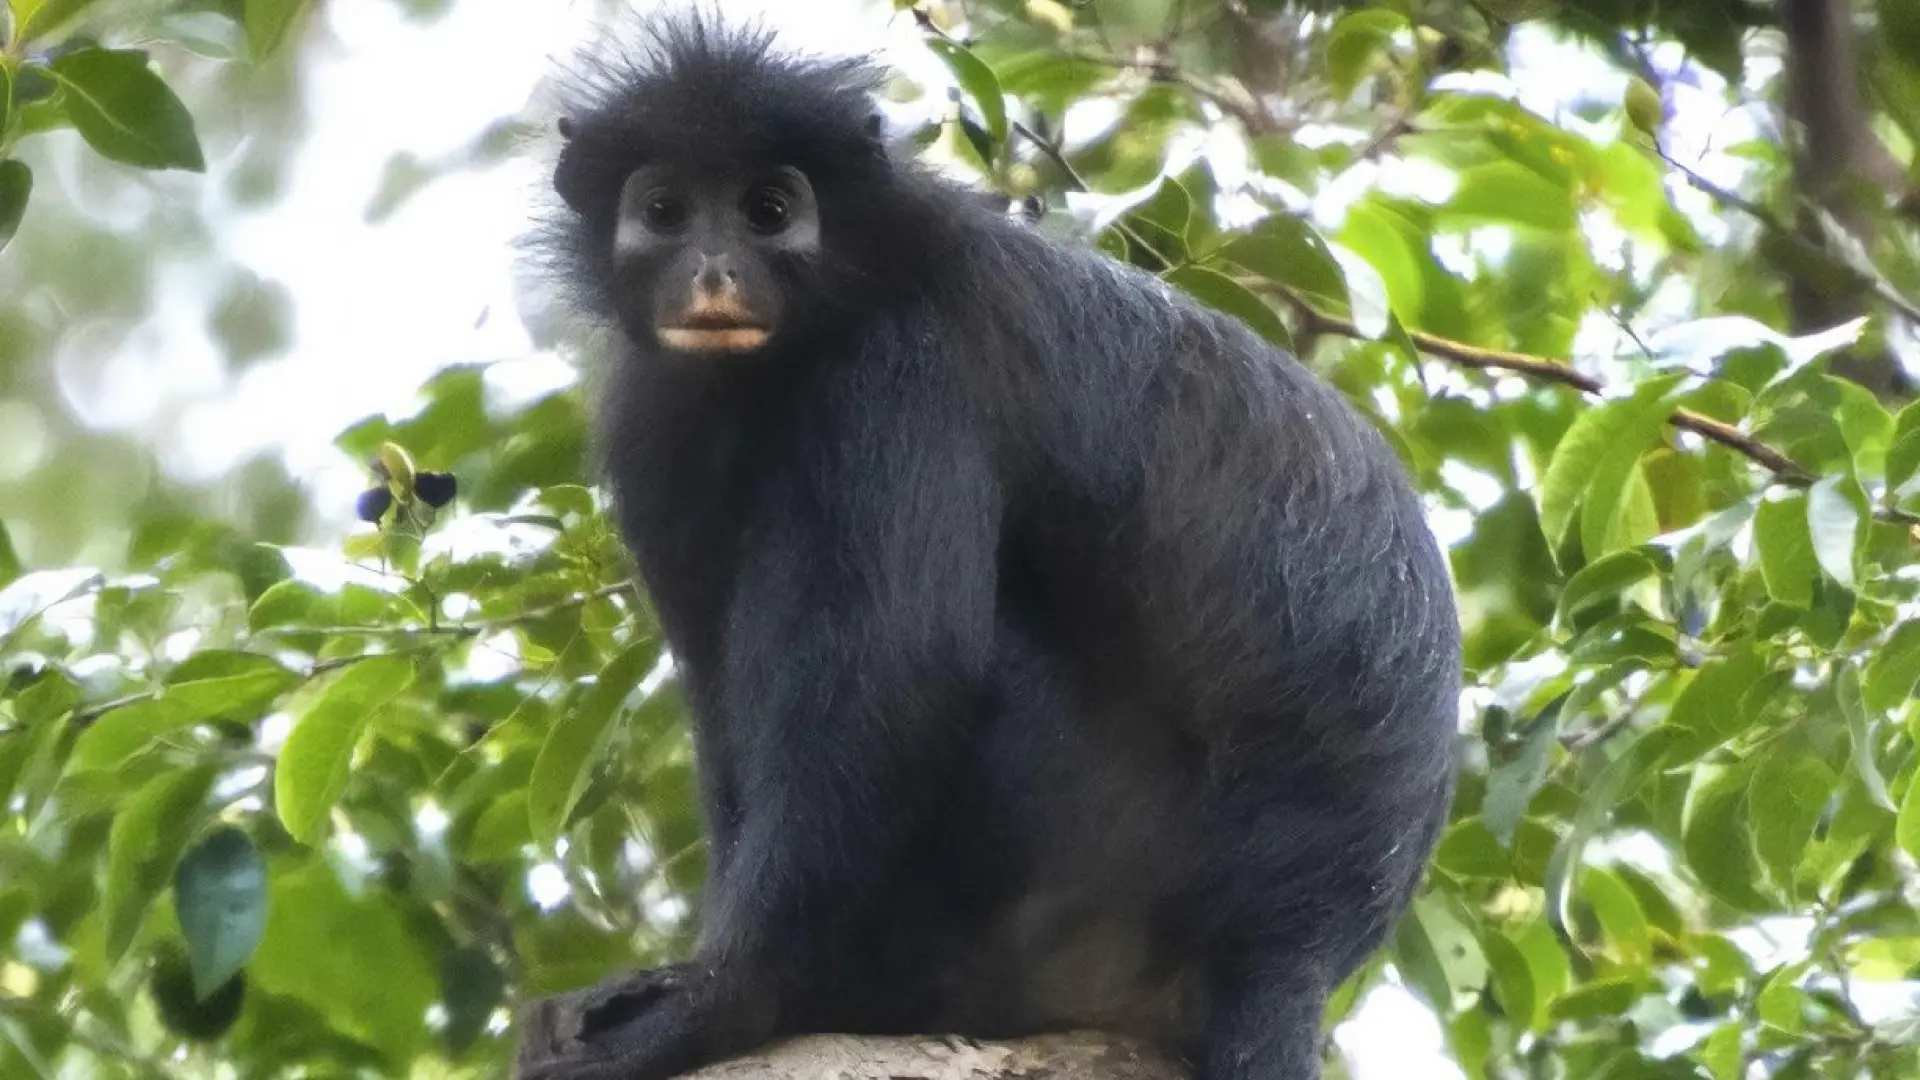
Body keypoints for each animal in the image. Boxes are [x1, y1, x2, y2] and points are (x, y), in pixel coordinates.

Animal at [515, 14, 1460, 1080]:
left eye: (768, 211)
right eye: (666, 211)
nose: (714, 272)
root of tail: (1294, 946)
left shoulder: (903, 366)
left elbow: (899, 672)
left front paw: (727, 1000)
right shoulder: (654, 419)